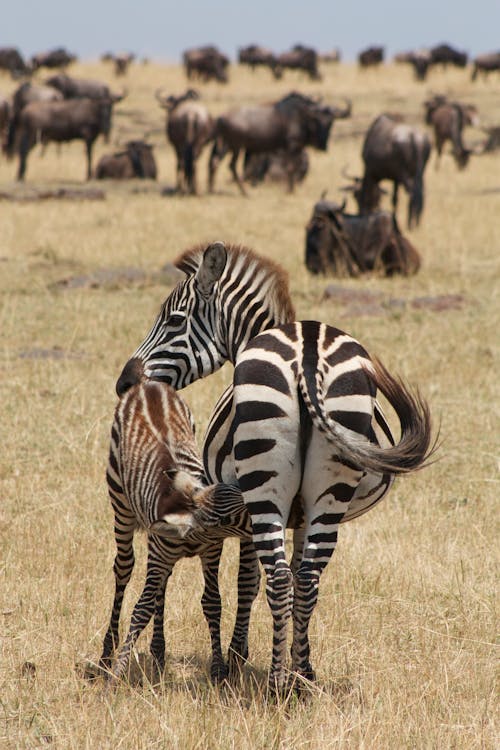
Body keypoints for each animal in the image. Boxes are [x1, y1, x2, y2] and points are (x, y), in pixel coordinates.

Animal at [100, 378, 252, 684]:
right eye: (228, 518)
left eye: (237, 490)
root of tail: (148, 385)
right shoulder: (160, 553)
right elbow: (142, 608)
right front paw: (116, 673)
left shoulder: (210, 553)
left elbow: (212, 602)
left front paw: (218, 669)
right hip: (120, 504)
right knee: (123, 568)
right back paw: (107, 653)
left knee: (162, 584)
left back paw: (158, 653)